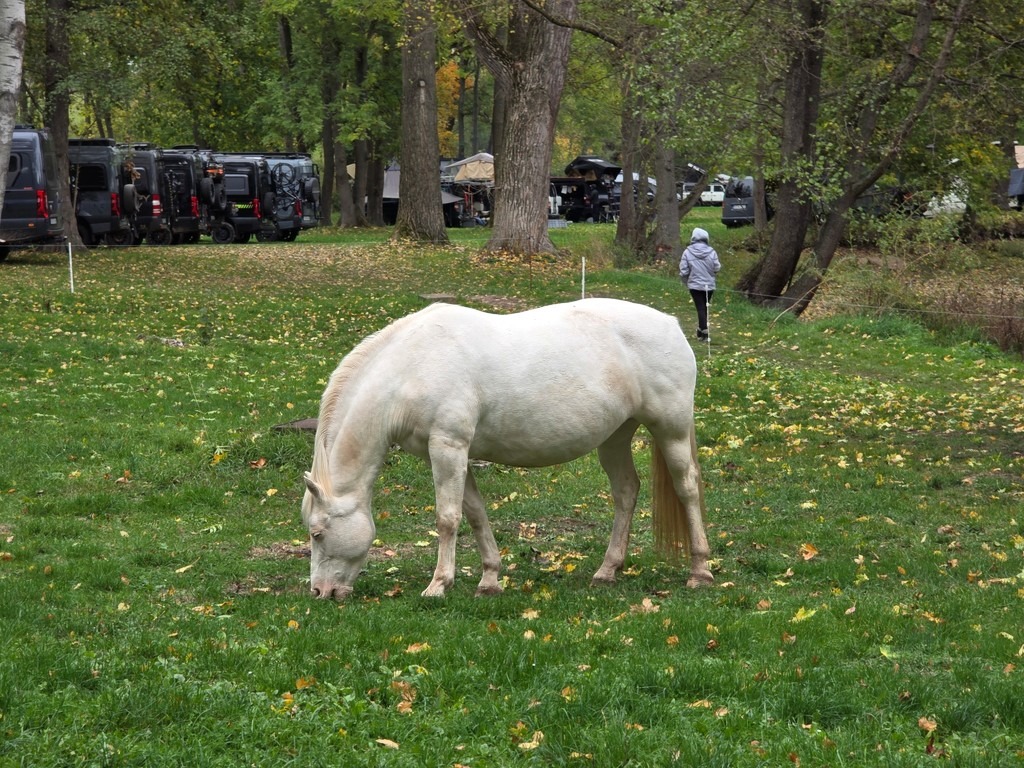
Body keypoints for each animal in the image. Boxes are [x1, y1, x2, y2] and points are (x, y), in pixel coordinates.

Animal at [301, 298, 713, 600]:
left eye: (317, 533)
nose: (320, 592)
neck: (411, 367)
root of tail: (671, 324)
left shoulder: (447, 448)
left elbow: (447, 519)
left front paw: (438, 585)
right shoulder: (456, 454)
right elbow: (475, 514)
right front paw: (489, 579)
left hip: (671, 430)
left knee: (687, 487)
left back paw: (700, 571)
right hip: (614, 438)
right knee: (626, 491)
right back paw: (607, 570)